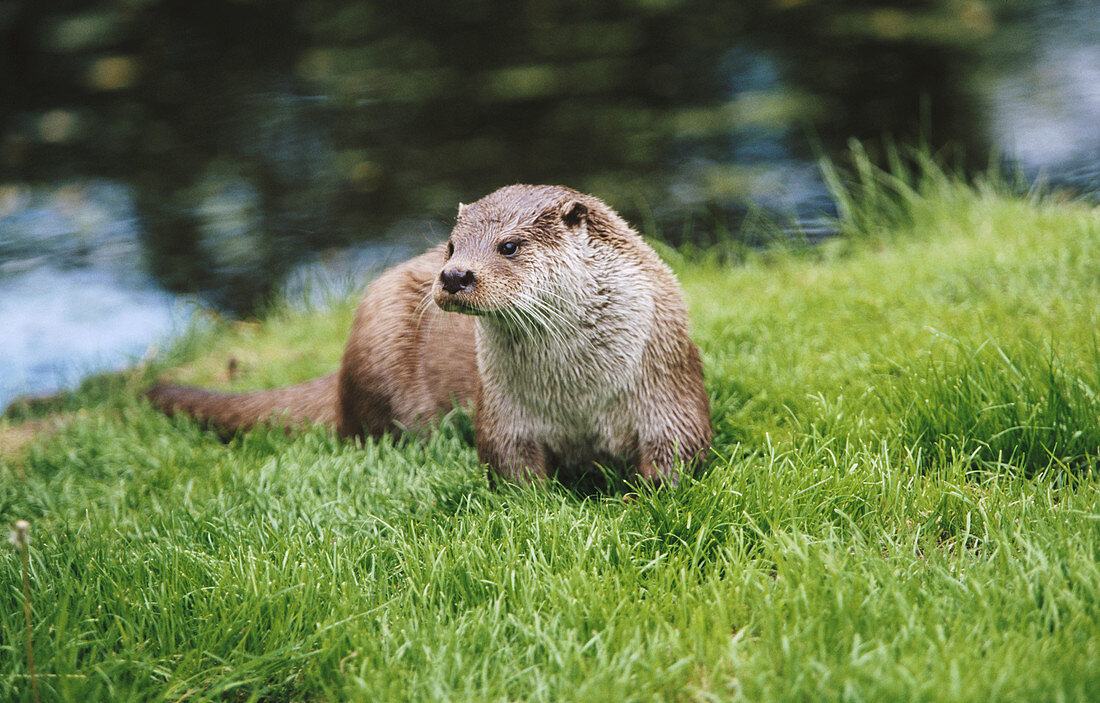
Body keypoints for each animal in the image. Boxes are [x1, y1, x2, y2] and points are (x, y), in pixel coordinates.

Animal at [148, 184, 712, 486]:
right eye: (452, 245)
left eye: (509, 246)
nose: (455, 275)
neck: (580, 392)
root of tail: (340, 376)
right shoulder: (503, 413)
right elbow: (510, 466)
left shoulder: (667, 385)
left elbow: (678, 454)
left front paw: (638, 497)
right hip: (377, 344)